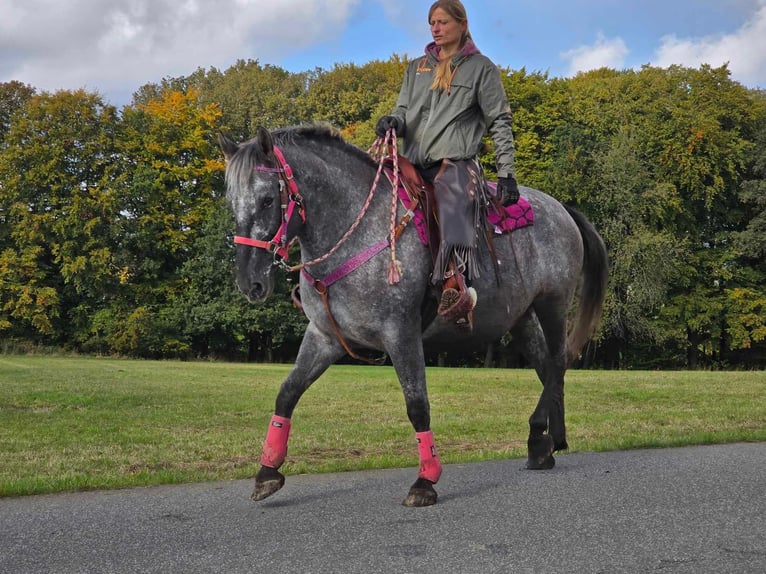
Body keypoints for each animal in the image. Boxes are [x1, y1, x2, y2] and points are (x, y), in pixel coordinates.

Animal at [219, 125, 608, 508]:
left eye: (268, 200)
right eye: (231, 202)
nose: (249, 283)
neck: (359, 234)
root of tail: (561, 208)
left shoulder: (401, 334)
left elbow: (417, 404)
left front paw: (426, 480)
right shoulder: (324, 337)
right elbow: (287, 393)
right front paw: (267, 471)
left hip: (553, 304)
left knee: (557, 363)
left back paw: (541, 435)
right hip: (523, 317)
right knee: (546, 368)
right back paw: (545, 442)